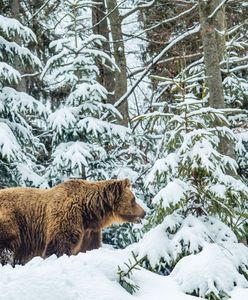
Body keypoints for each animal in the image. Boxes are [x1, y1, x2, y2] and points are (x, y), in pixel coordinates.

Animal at [0, 178, 145, 264]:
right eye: (133, 199)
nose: (144, 213)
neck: (88, 212)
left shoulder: (89, 231)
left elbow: (89, 247)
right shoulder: (67, 217)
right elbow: (59, 245)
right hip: (10, 221)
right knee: (6, 249)